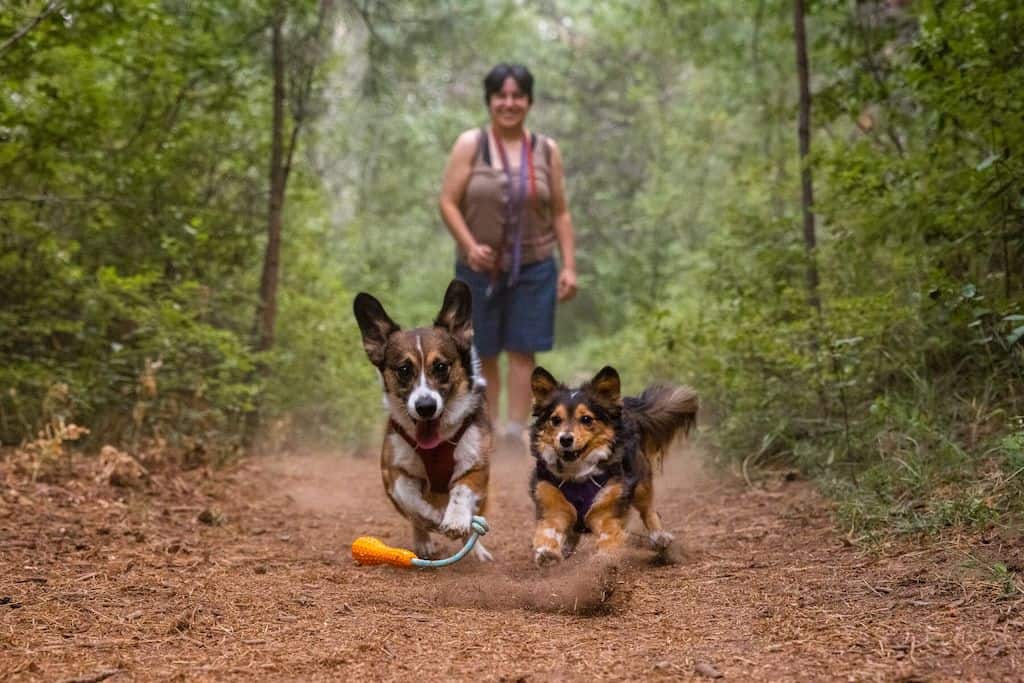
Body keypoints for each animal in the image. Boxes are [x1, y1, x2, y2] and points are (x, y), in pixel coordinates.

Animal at [354, 280, 493, 565]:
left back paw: (475, 550)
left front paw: (455, 520)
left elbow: (461, 492)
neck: (437, 444)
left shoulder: (476, 467)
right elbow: (413, 503)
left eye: (441, 366)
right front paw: (435, 518)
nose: (425, 407)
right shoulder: (395, 473)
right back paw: (424, 541)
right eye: (404, 370)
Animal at [528, 368, 696, 565]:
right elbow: (549, 530)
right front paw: (547, 553)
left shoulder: (608, 507)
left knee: (648, 510)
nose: (565, 439)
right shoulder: (551, 502)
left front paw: (604, 562)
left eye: (586, 419)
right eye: (555, 419)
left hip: (641, 484)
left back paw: (660, 537)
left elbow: (609, 537)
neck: (577, 474)